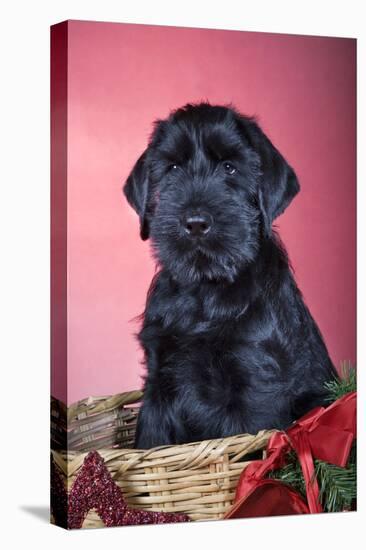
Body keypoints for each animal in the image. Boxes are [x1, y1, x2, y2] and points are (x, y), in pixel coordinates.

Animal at [123, 104, 338, 452]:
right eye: (172, 168)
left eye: (229, 168)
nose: (196, 222)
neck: (204, 291)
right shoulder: (159, 385)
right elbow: (151, 440)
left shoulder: (253, 387)